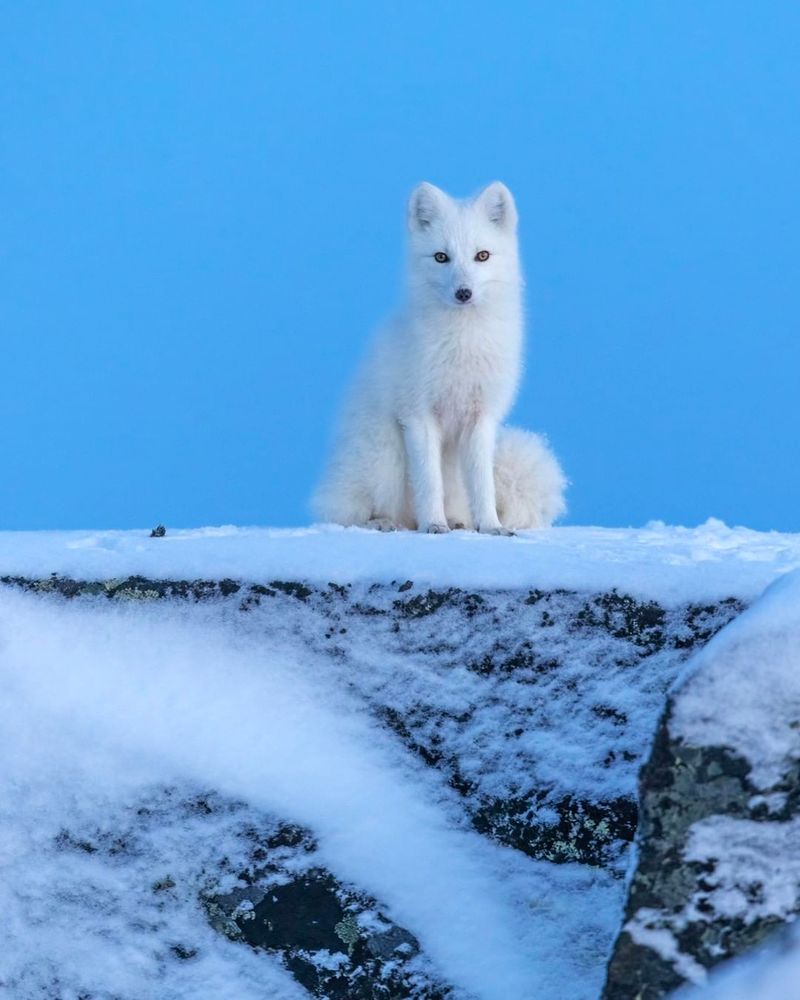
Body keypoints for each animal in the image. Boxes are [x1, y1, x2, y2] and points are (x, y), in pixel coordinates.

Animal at [310, 183, 564, 536]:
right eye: (441, 257)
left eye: (482, 255)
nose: (463, 293)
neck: (463, 343)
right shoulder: (418, 416)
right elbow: (429, 482)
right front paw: (433, 524)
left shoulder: (481, 419)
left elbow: (483, 485)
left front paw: (490, 526)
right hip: (384, 458)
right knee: (347, 512)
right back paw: (384, 522)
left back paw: (458, 521)